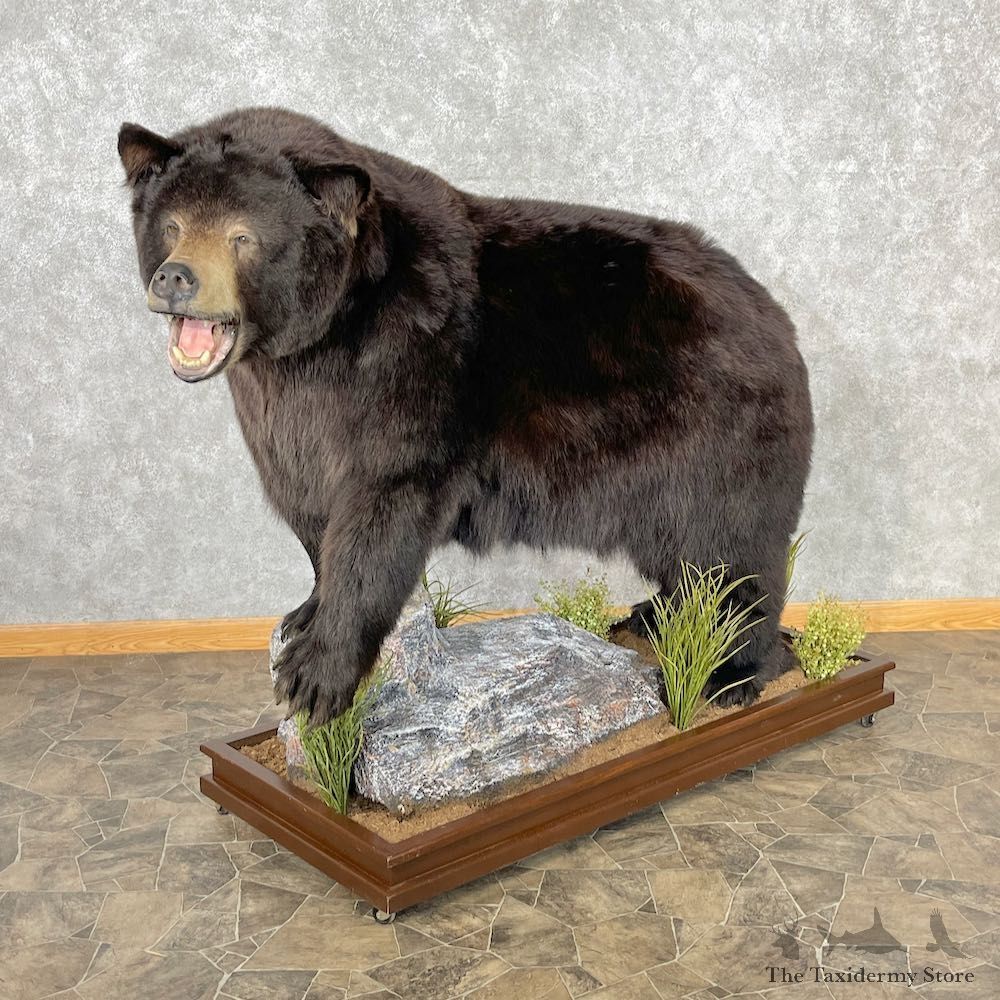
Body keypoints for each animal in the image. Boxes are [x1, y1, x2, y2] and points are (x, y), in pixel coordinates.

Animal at [118, 107, 813, 725]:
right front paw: (304, 612)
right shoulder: (287, 418)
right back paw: (650, 616)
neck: (315, 345)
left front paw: (315, 676)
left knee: (734, 552)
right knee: (686, 559)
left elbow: (383, 510)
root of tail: (776, 316)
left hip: (713, 437)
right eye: (173, 225)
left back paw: (731, 672)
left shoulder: (412, 370)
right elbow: (311, 512)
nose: (175, 279)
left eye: (243, 236)